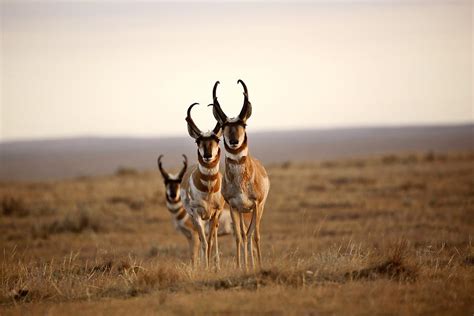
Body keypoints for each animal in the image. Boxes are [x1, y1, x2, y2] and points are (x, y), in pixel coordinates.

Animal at [181, 103, 227, 270]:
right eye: (197, 141)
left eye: (217, 139)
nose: (207, 155)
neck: (208, 190)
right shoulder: (196, 214)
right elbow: (204, 242)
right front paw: (204, 267)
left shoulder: (215, 213)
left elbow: (211, 241)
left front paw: (213, 267)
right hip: (197, 218)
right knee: (202, 239)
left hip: (214, 218)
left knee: (214, 236)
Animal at [211, 79, 270, 270]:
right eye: (224, 125)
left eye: (243, 124)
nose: (234, 141)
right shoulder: (234, 207)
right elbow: (238, 236)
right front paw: (240, 266)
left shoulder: (256, 205)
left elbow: (256, 235)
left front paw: (258, 265)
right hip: (244, 212)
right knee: (245, 234)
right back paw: (247, 264)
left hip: (257, 210)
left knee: (252, 234)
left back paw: (254, 264)